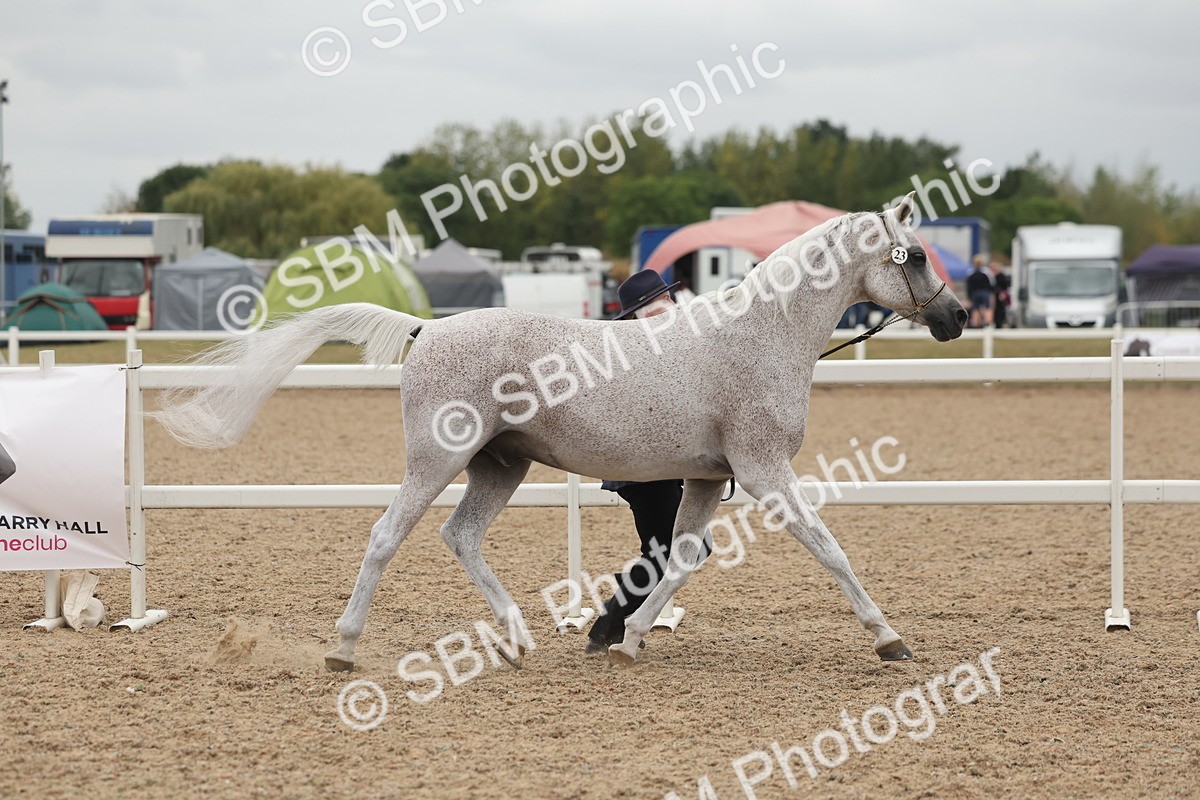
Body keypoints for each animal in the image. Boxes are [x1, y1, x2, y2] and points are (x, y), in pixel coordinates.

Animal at [154, 192, 967, 672]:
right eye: (919, 254)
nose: (957, 317)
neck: (761, 335)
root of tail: (425, 328)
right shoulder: (766, 471)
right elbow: (830, 551)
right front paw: (889, 639)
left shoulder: (710, 478)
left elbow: (680, 560)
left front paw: (630, 639)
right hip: (437, 458)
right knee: (386, 536)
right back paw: (344, 650)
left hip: (499, 467)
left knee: (460, 536)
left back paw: (516, 639)